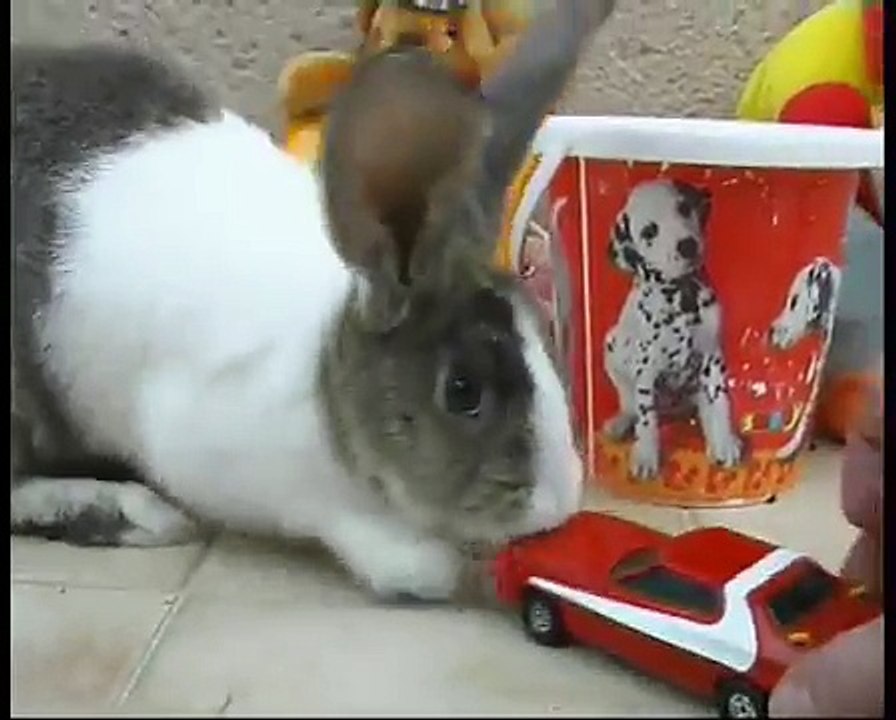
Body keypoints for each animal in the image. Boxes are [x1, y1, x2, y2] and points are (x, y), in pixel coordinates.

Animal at [11, 0, 616, 601]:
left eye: (547, 338)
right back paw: (140, 514)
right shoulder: (237, 465)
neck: (327, 364)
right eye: (463, 391)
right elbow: (365, 538)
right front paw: (431, 565)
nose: (557, 507)